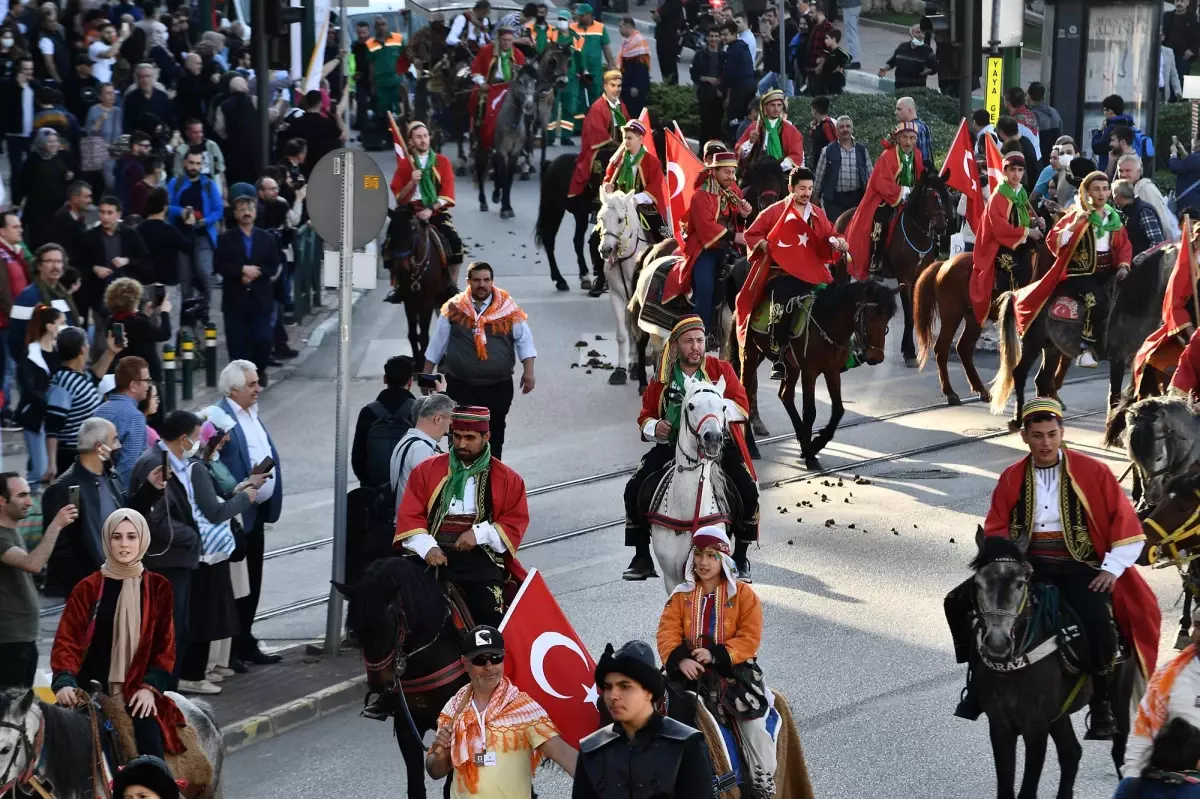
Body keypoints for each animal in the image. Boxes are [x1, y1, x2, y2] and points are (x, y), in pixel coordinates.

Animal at [472, 65, 540, 218]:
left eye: (534, 82)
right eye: (520, 81)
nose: (529, 106)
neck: (512, 122)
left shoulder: (514, 152)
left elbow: (508, 179)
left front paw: (507, 206)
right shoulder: (502, 150)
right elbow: (503, 176)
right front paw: (504, 208)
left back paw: (496, 195)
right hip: (482, 146)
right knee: (480, 170)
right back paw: (483, 201)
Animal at [597, 188, 652, 383]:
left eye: (620, 219)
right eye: (601, 218)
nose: (605, 250)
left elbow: (639, 332)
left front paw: (636, 367)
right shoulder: (616, 296)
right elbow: (622, 333)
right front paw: (620, 369)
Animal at [729, 278, 902, 467]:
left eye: (887, 319)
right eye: (870, 316)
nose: (876, 357)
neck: (827, 322)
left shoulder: (832, 370)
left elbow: (838, 409)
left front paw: (815, 443)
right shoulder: (809, 372)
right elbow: (810, 411)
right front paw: (811, 456)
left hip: (790, 365)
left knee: (785, 395)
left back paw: (802, 440)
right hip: (750, 354)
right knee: (745, 394)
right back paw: (751, 445)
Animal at [840, 171, 950, 367]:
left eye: (944, 196)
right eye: (927, 197)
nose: (940, 226)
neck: (916, 236)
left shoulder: (918, 278)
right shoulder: (904, 279)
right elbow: (909, 314)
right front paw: (909, 352)